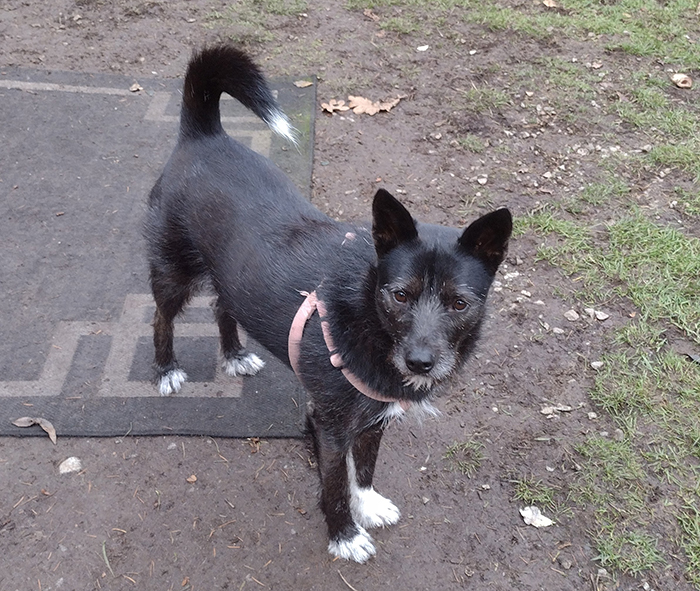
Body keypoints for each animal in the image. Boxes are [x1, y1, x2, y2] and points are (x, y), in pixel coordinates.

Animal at [145, 46, 512, 564]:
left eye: (459, 303)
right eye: (400, 294)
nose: (421, 363)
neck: (366, 318)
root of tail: (204, 135)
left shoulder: (374, 419)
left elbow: (365, 469)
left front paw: (368, 505)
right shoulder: (331, 426)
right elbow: (336, 483)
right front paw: (344, 534)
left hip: (233, 274)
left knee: (222, 307)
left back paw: (234, 355)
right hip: (174, 272)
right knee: (161, 317)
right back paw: (166, 369)